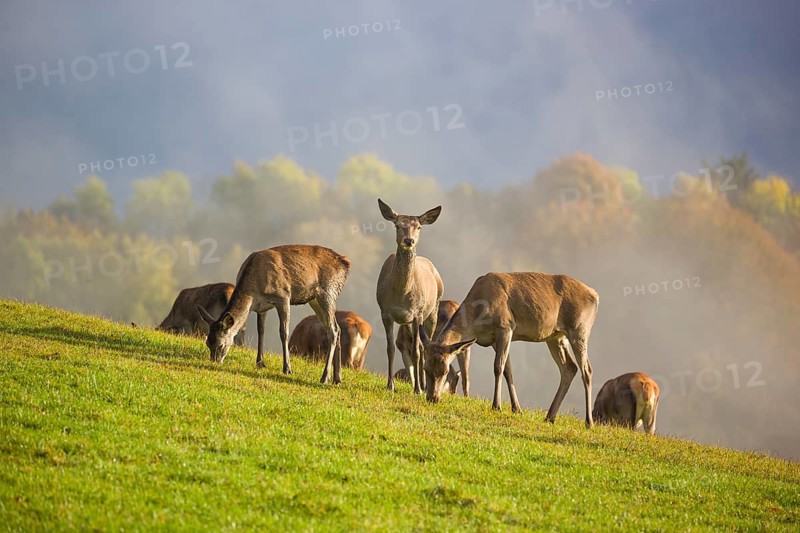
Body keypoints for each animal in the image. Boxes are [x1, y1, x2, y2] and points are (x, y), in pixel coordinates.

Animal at [197, 244, 351, 384]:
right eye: (207, 343)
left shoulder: (283, 296)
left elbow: (284, 332)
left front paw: (287, 369)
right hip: (315, 300)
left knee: (333, 331)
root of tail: (346, 264)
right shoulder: (262, 307)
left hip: (328, 293)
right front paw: (260, 362)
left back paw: (324, 377)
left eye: (220, 345)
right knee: (337, 328)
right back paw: (337, 378)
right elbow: (261, 331)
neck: (253, 291)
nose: (214, 362)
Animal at [376, 199, 444, 394]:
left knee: (423, 347)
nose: (409, 240)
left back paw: (423, 385)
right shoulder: (385, 311)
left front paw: (418, 389)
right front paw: (390, 385)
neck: (401, 295)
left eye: (418, 227)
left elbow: (415, 352)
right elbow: (390, 348)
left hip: (432, 311)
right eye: (397, 225)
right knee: (420, 346)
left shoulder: (417, 313)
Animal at [421, 272, 599, 427]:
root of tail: (595, 295)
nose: (432, 398)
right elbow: (508, 370)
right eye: (425, 368)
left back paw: (589, 422)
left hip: (580, 330)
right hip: (555, 337)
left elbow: (498, 367)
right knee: (569, 367)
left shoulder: (505, 326)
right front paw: (516, 409)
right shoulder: (495, 339)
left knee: (587, 370)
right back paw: (549, 416)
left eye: (445, 371)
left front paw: (496, 406)